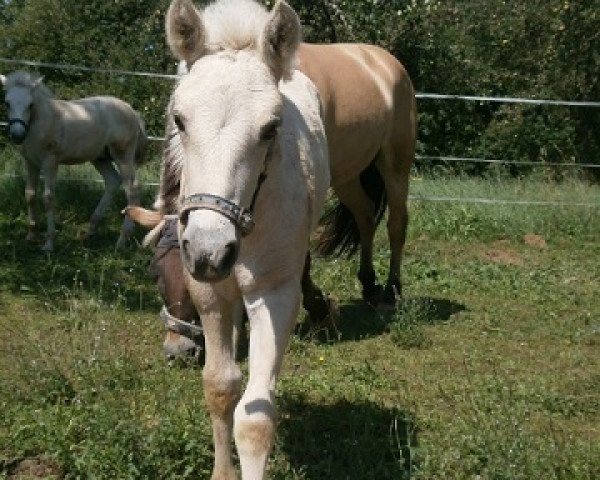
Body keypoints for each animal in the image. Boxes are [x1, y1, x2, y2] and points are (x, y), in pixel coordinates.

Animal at [1, 72, 147, 251]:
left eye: (30, 104)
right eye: (7, 103)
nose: (17, 135)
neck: (41, 122)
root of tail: (132, 112)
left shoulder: (50, 162)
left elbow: (48, 198)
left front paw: (49, 243)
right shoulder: (30, 162)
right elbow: (30, 194)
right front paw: (31, 235)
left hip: (123, 155)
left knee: (132, 188)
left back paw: (122, 240)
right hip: (100, 158)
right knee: (113, 181)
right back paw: (91, 229)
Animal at [163, 0, 328, 476]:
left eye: (271, 128)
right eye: (179, 120)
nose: (209, 251)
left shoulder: (274, 293)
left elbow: (254, 419)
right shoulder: (208, 293)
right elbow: (220, 387)